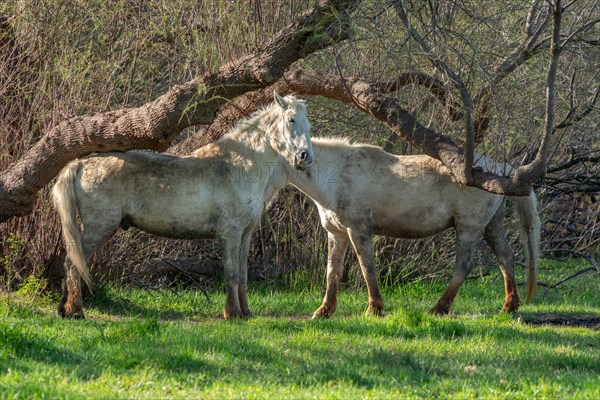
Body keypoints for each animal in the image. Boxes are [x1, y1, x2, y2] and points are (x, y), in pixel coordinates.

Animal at [53, 93, 314, 318]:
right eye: (291, 120)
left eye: (309, 125)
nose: (305, 157)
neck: (240, 165)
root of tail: (81, 163)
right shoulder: (230, 233)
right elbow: (232, 273)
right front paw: (232, 313)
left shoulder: (245, 234)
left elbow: (242, 274)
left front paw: (245, 312)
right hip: (99, 227)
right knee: (72, 263)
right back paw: (75, 311)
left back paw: (65, 308)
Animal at [266, 139, 540, 318]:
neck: (337, 175)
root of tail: (501, 169)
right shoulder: (337, 234)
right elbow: (332, 271)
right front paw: (324, 310)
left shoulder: (358, 230)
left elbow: (367, 268)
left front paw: (374, 308)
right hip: (490, 227)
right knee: (506, 258)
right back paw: (509, 306)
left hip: (469, 227)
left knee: (464, 266)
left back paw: (439, 308)